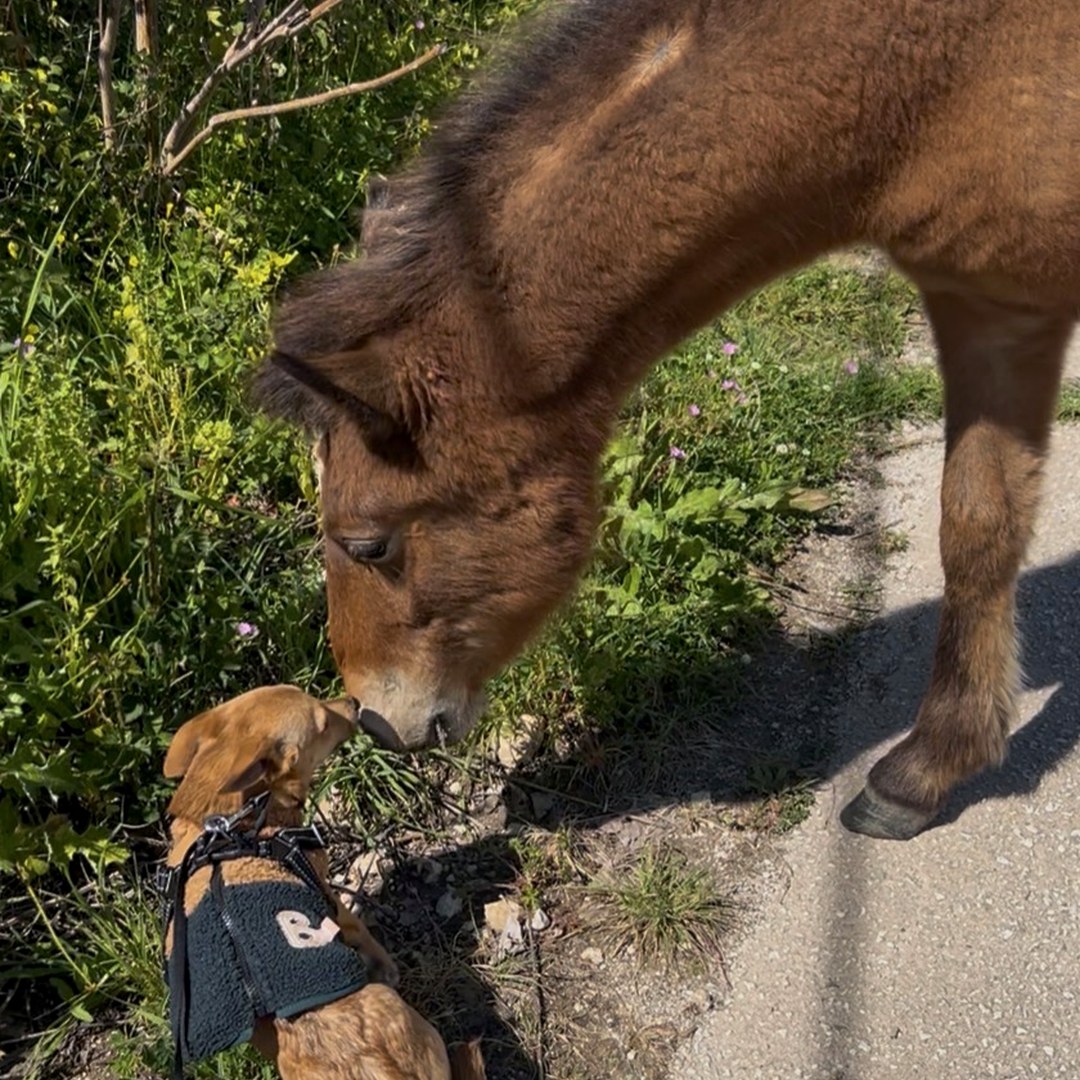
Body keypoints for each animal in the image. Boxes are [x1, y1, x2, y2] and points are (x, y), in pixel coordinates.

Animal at [255, 0, 1080, 841]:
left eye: (369, 543)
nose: (378, 720)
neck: (931, 86)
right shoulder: (991, 303)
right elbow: (979, 527)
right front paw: (931, 766)